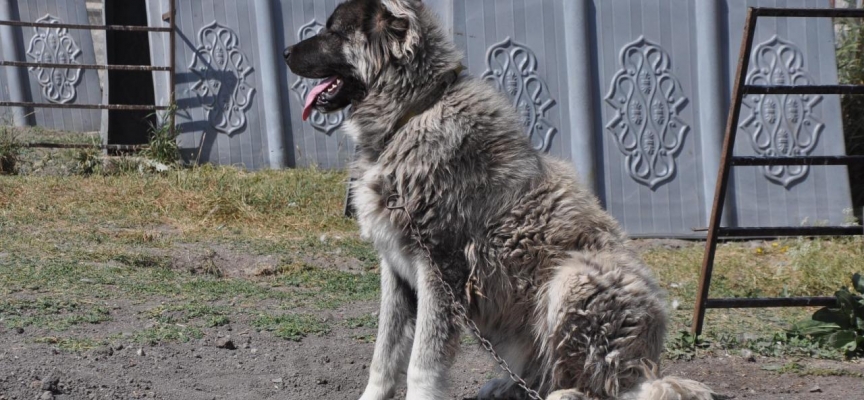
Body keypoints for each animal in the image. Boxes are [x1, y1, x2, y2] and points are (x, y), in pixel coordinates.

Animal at [286, 0, 712, 400]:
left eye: (334, 31)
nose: (286, 51)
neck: (411, 115)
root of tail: (646, 366)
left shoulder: (440, 269)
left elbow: (422, 362)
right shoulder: (397, 270)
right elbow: (384, 353)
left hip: (573, 279)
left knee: (599, 384)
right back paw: (508, 385)